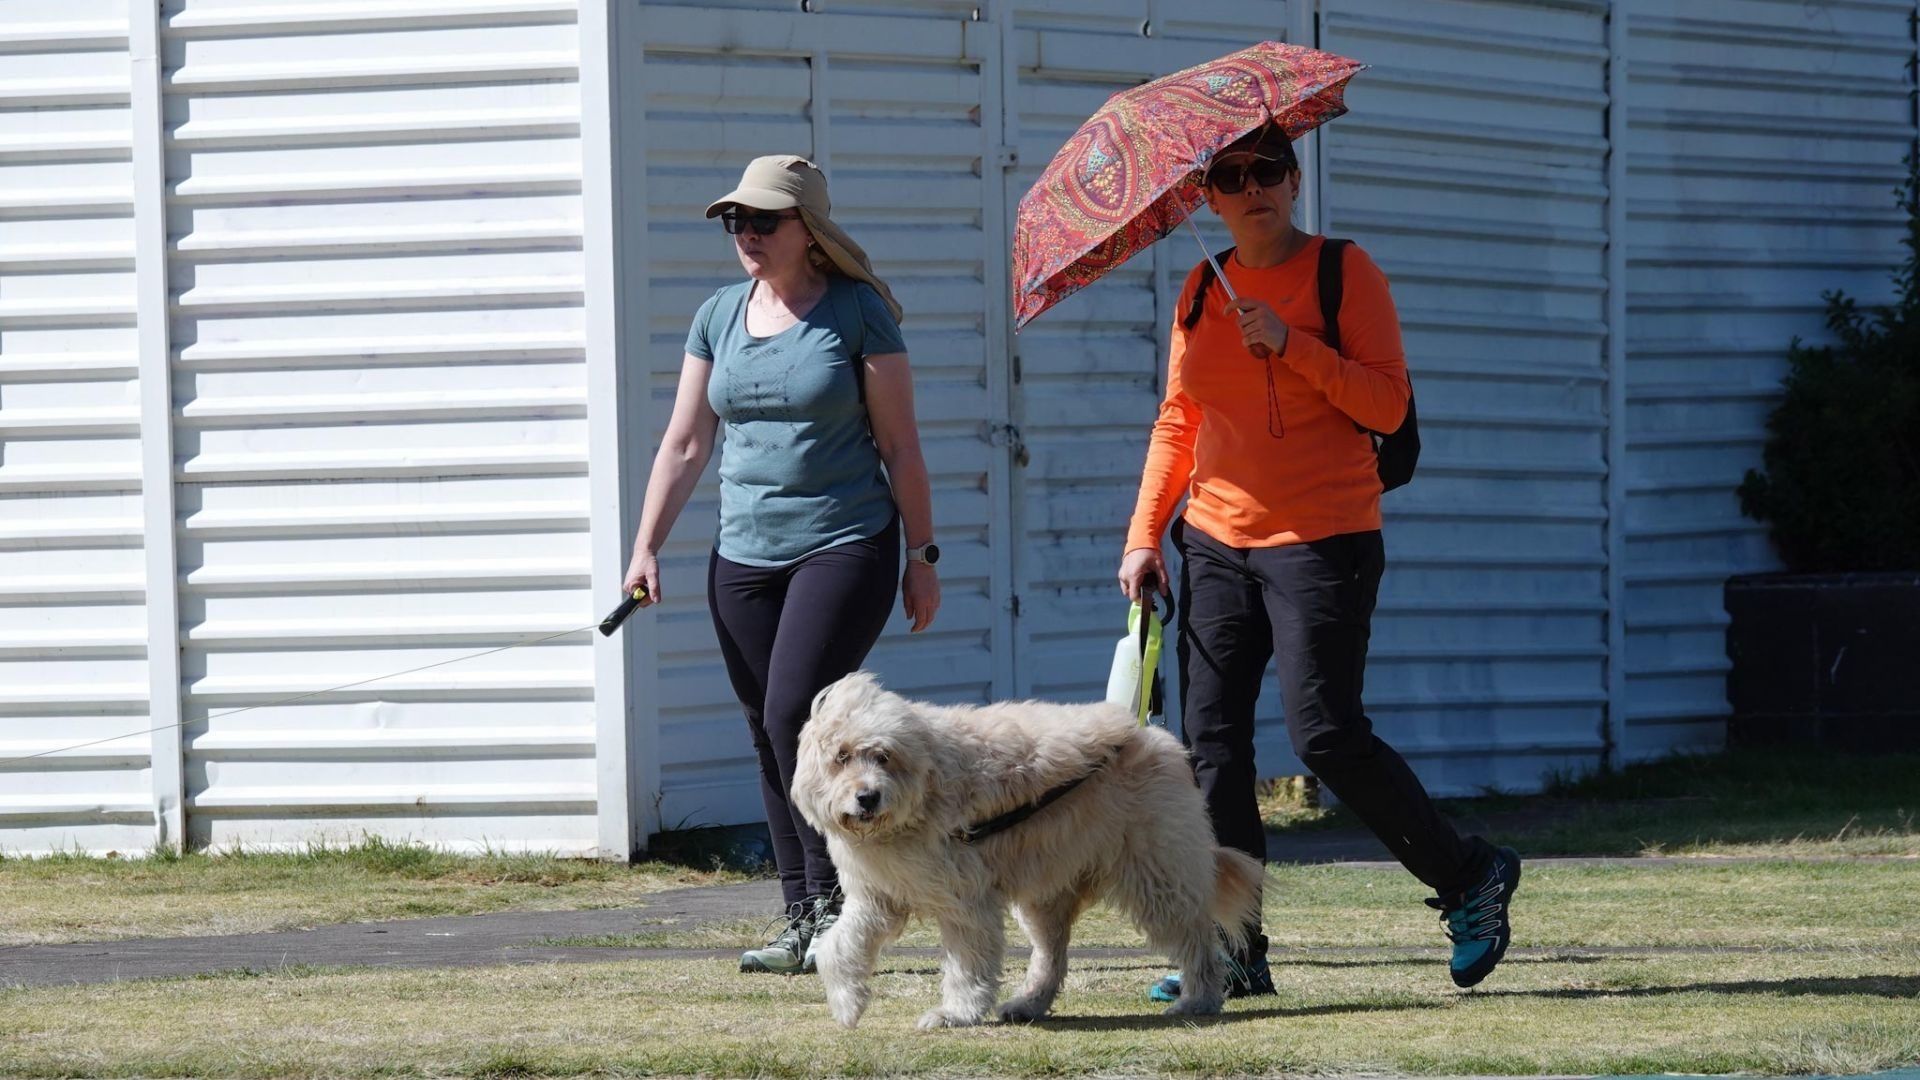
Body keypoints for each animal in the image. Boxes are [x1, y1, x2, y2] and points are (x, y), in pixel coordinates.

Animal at [787, 664, 1267, 1022]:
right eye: (842, 757)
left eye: (883, 757)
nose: (868, 797)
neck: (923, 789)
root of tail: (1157, 737)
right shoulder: (878, 896)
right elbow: (840, 946)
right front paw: (847, 1003)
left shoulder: (964, 901)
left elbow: (967, 960)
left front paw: (957, 1013)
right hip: (1046, 892)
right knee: (1052, 957)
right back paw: (1028, 1003)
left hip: (1158, 873)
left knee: (1197, 938)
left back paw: (1199, 998)